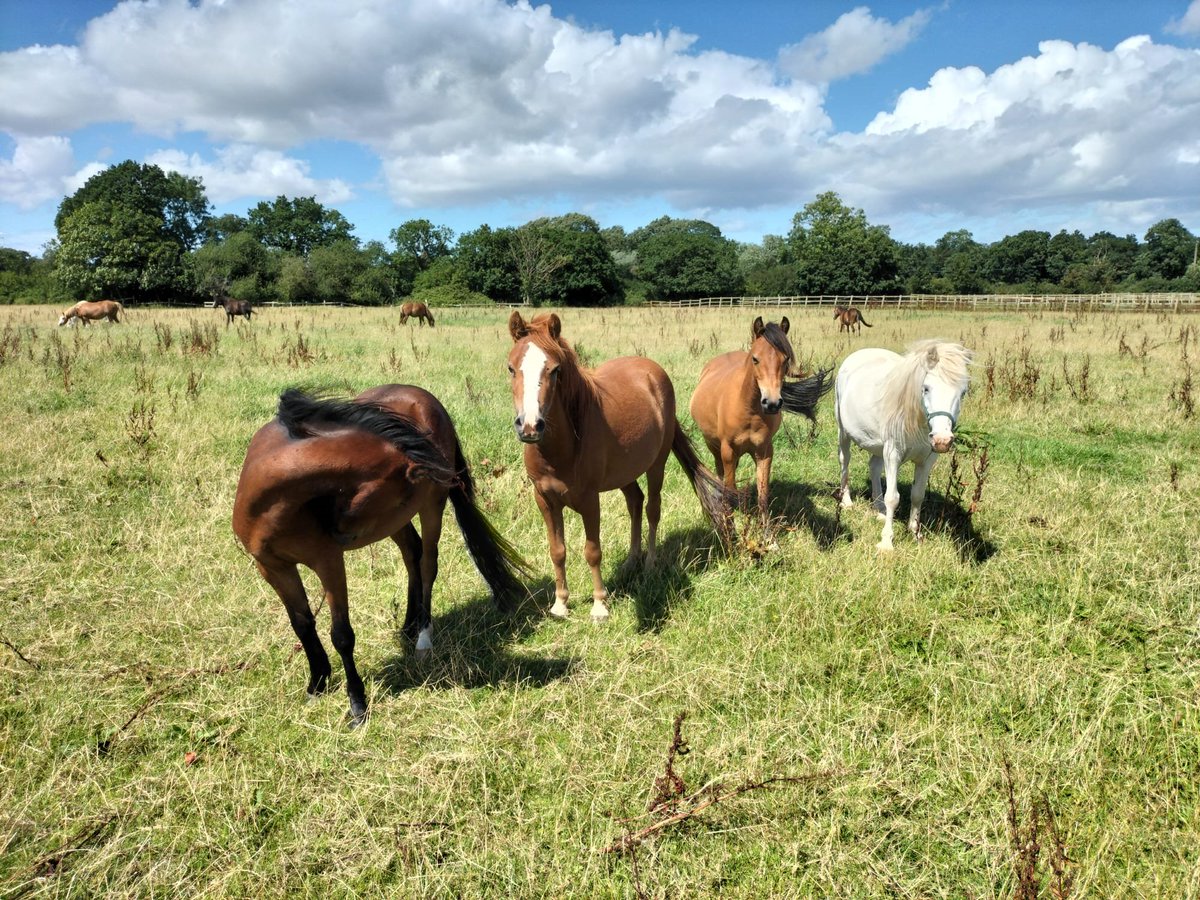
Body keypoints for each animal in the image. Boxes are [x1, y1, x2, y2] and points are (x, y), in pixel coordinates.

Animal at [234, 381, 530, 724]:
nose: (337, 529)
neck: (274, 503)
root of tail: (422, 395)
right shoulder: (272, 567)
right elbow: (302, 624)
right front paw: (317, 684)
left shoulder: (328, 562)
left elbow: (341, 635)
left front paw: (357, 704)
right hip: (394, 523)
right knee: (412, 553)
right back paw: (409, 624)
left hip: (430, 507)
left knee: (427, 563)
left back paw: (422, 635)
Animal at [508, 309, 729, 619]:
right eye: (511, 368)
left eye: (554, 370)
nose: (530, 426)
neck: (562, 449)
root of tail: (652, 370)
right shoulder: (545, 500)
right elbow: (557, 550)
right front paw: (561, 604)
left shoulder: (590, 500)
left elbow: (592, 551)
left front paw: (600, 605)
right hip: (625, 473)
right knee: (635, 501)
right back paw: (631, 560)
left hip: (656, 464)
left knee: (652, 509)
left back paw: (649, 565)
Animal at [691, 316, 830, 528]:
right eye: (755, 359)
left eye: (786, 359)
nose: (772, 403)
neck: (748, 411)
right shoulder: (728, 451)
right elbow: (729, 488)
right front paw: (731, 524)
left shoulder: (764, 452)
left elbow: (763, 495)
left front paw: (765, 533)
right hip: (713, 446)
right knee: (721, 474)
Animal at [835, 338, 974, 549]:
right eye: (926, 388)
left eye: (963, 392)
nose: (942, 440)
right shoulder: (893, 455)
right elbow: (893, 497)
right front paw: (886, 543)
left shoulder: (926, 460)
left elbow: (917, 495)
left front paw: (915, 533)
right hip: (844, 432)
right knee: (845, 461)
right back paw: (847, 502)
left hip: (878, 446)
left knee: (874, 467)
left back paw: (879, 509)